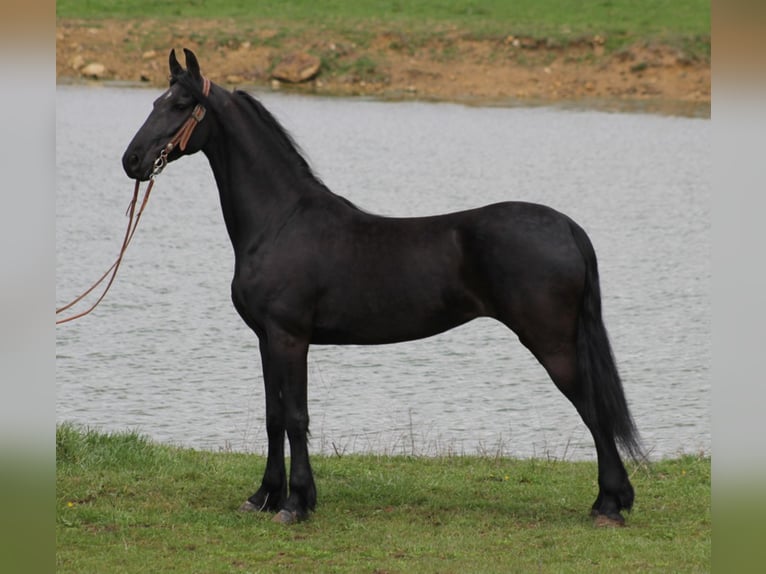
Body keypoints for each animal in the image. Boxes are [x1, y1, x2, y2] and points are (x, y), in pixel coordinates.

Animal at [124, 49, 640, 528]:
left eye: (180, 104)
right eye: (154, 101)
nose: (132, 161)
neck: (280, 221)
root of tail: (568, 227)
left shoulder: (290, 338)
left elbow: (296, 418)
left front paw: (295, 504)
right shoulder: (265, 339)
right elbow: (273, 417)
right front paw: (263, 497)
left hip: (552, 343)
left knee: (593, 410)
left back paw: (609, 506)